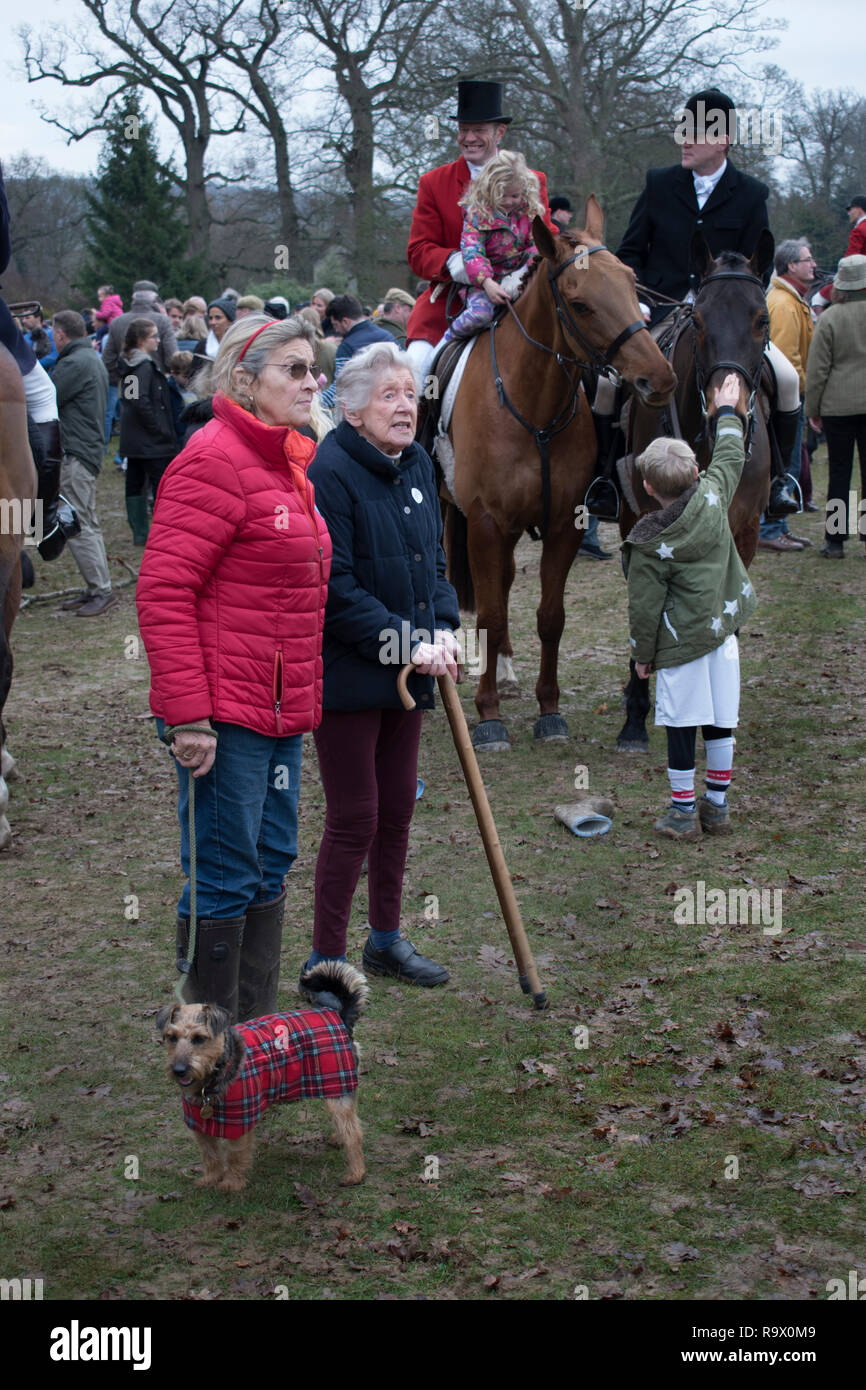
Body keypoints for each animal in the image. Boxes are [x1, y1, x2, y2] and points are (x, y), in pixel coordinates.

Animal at [157, 961, 366, 1189]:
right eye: (171, 1037)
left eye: (199, 1038)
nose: (179, 1070)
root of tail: (339, 1016)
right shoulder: (198, 1123)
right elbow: (210, 1154)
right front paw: (210, 1178)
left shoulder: (239, 1122)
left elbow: (235, 1156)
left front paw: (231, 1184)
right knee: (348, 1122)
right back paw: (338, 1139)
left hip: (338, 1088)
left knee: (354, 1133)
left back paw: (355, 1173)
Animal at [447, 195, 678, 750]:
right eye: (581, 304)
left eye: (630, 283)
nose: (659, 378)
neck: (533, 410)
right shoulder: (484, 523)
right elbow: (489, 613)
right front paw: (487, 716)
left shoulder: (562, 523)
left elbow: (550, 617)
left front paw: (548, 709)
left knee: (506, 582)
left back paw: (506, 671)